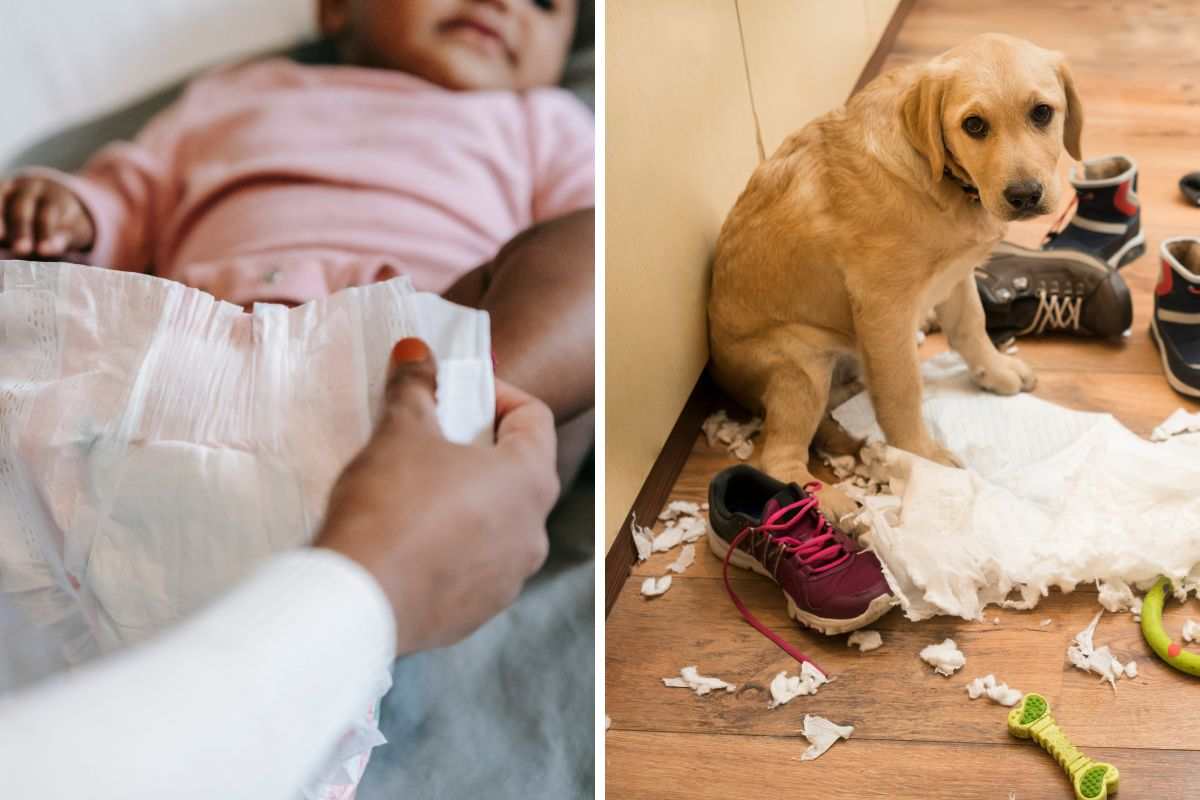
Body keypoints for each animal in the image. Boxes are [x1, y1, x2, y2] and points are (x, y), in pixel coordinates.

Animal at [705, 32, 1084, 520]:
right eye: (974, 125)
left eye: (1042, 113)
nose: (1024, 196)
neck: (941, 179)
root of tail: (723, 377)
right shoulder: (884, 308)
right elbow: (902, 390)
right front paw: (922, 457)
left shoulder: (956, 274)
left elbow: (971, 326)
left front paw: (995, 370)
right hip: (800, 365)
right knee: (777, 455)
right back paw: (828, 501)